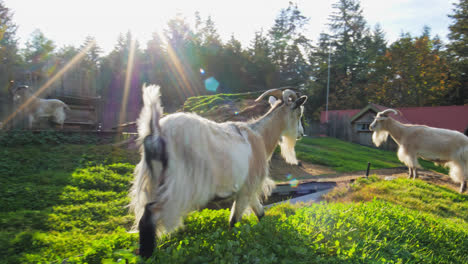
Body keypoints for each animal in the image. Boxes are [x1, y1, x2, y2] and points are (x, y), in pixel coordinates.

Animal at [130, 84, 308, 258]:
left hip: (154, 180)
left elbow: (260, 213)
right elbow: (234, 221)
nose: (301, 134)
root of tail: (156, 132)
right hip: (178, 187)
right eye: (299, 113)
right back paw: (147, 255)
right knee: (150, 213)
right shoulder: (248, 187)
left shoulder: (247, 189)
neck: (260, 137)